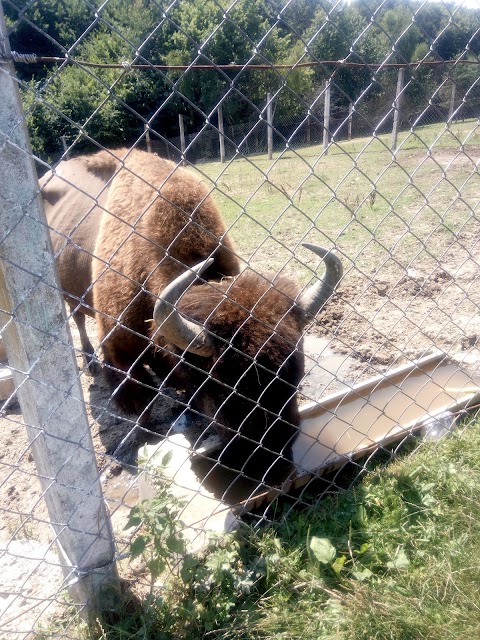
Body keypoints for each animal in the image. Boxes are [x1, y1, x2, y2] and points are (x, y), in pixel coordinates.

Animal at [40, 150, 342, 488]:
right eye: (223, 387)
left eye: (297, 376)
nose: (274, 466)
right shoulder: (121, 353)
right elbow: (141, 402)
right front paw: (136, 441)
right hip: (68, 296)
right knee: (78, 319)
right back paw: (90, 362)